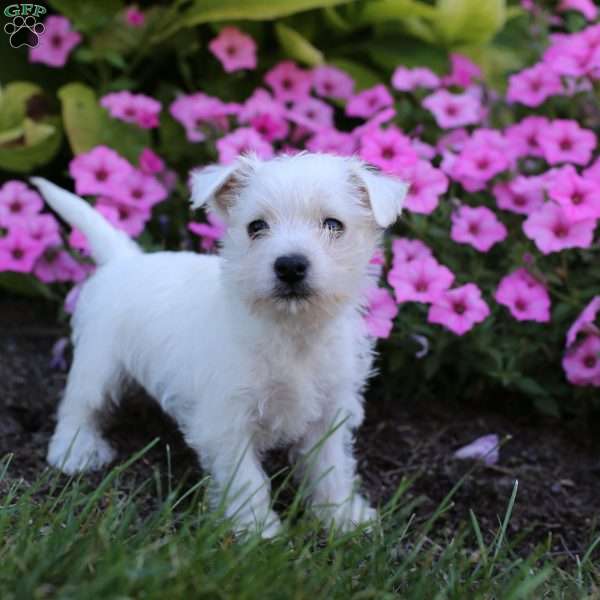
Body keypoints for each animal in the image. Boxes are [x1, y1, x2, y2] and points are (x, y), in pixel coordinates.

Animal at [32, 152, 408, 536]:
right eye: (256, 226)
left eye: (333, 224)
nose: (290, 265)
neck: (291, 330)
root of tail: (124, 259)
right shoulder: (227, 418)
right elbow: (246, 478)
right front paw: (258, 530)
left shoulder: (330, 410)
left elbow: (330, 466)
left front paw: (342, 517)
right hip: (99, 360)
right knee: (79, 404)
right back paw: (74, 451)